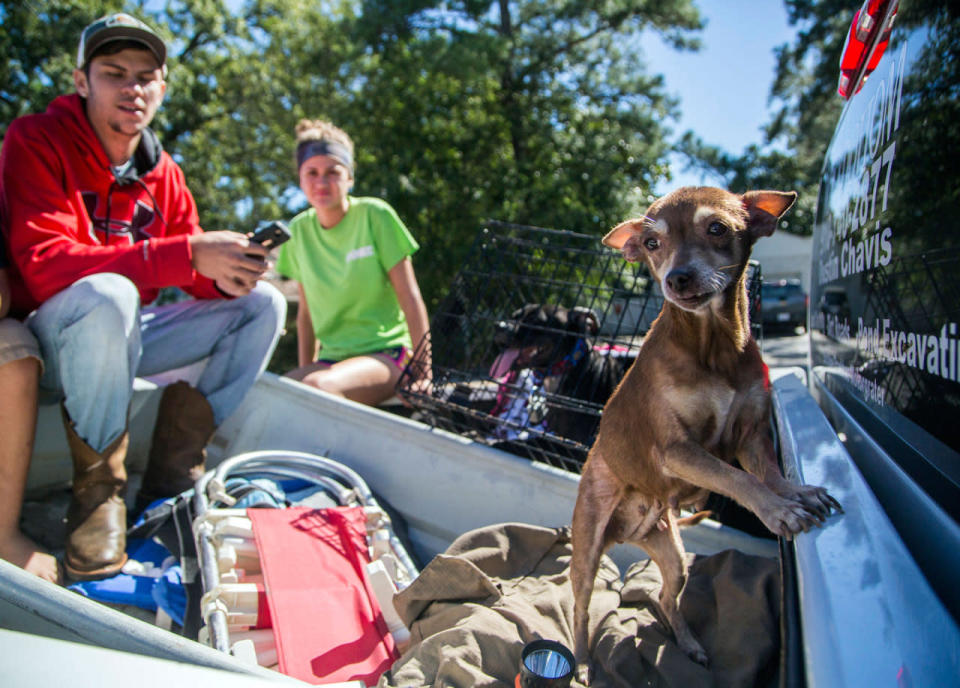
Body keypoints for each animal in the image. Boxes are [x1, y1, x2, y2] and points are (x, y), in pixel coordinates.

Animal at [568, 185, 840, 680]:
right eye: (652, 243)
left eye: (716, 228)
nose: (677, 278)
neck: (713, 345)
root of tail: (628, 534)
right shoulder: (679, 451)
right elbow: (739, 479)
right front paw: (779, 511)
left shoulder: (752, 434)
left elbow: (768, 474)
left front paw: (797, 493)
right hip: (588, 548)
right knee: (579, 606)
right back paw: (580, 662)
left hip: (672, 554)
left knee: (664, 597)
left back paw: (689, 644)